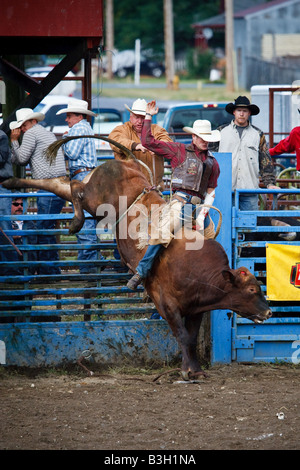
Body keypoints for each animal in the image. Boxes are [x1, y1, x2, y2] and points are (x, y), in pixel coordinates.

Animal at [1, 135, 272, 378]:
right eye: (250, 290)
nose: (269, 313)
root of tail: (128, 161)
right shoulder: (166, 304)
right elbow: (183, 336)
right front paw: (187, 372)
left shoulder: (196, 309)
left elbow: (191, 338)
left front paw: (194, 370)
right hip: (94, 200)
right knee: (75, 188)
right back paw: (75, 222)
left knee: (61, 183)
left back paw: (12, 181)